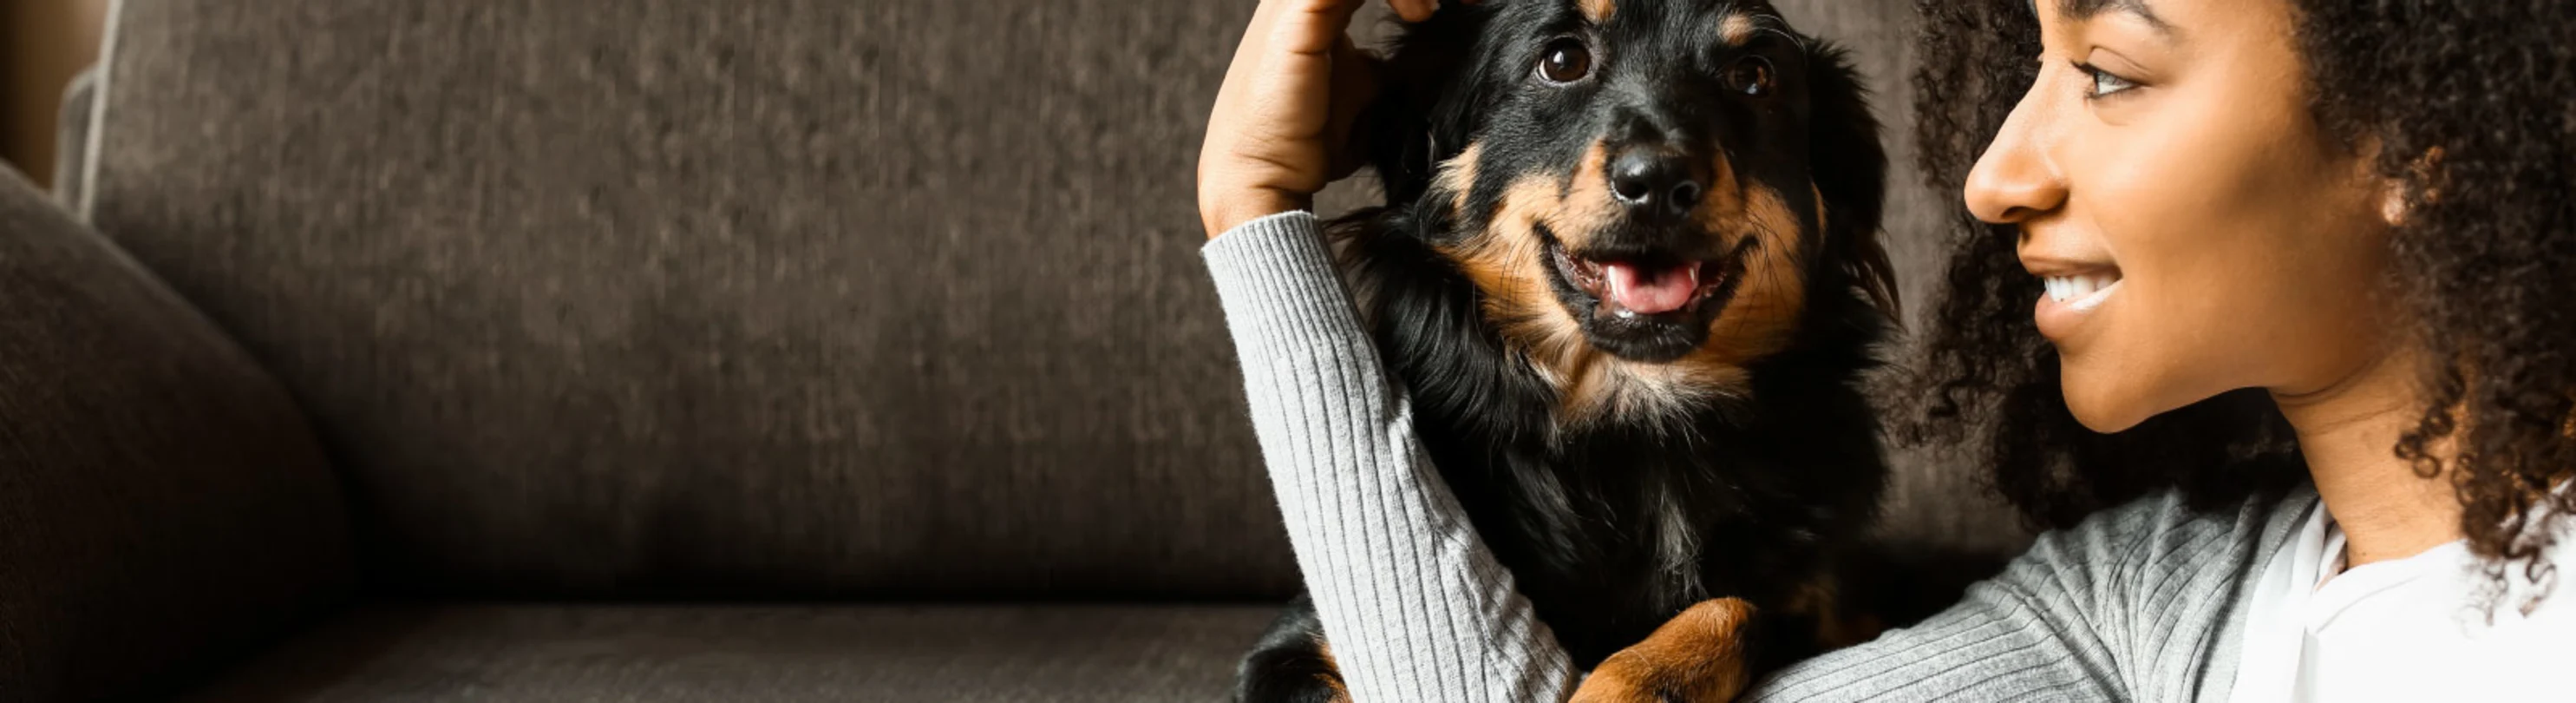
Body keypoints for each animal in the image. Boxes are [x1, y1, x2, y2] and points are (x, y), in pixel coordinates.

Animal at [1236, 1, 1906, 700]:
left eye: (1754, 76)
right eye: (1561, 61)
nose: (1659, 179)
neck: (1637, 416)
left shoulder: (1827, 602)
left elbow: (1736, 609)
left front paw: (1630, 681)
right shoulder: (1299, 643)